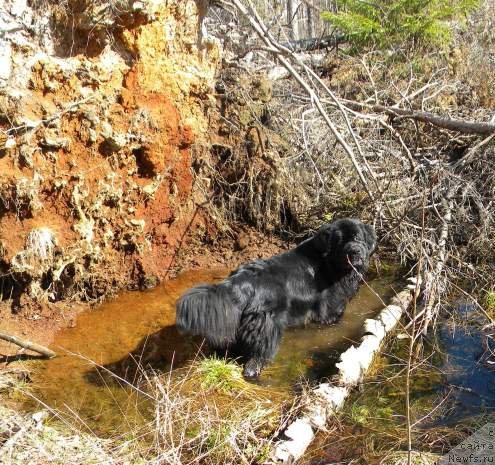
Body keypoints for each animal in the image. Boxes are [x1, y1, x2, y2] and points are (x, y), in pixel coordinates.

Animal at [176, 218, 378, 376]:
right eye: (339, 242)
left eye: (357, 238)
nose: (355, 252)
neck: (329, 263)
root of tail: (240, 281)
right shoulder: (330, 310)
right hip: (266, 326)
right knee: (257, 357)